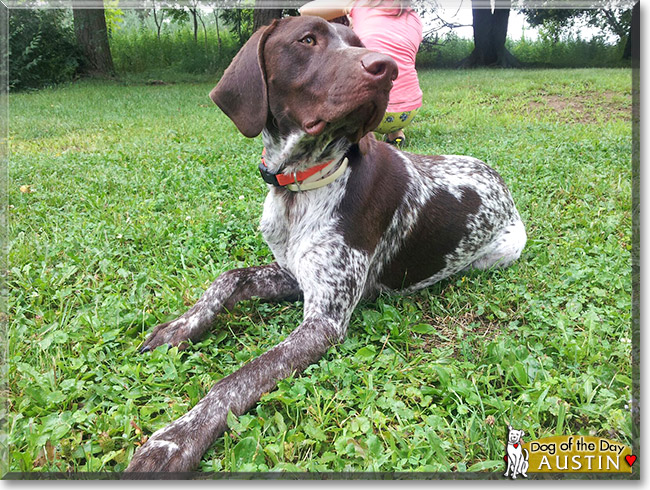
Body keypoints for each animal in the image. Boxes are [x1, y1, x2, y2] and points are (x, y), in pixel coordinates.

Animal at [124, 17, 524, 472]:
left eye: (358, 42)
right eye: (307, 40)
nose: (387, 68)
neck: (302, 182)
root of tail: (499, 179)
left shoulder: (323, 321)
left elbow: (238, 378)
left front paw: (174, 440)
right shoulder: (291, 273)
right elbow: (228, 278)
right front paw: (179, 327)